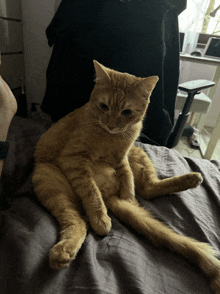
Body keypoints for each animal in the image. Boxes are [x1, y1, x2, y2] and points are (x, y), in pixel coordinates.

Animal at [32, 60, 220, 292]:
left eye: (127, 112)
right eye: (104, 106)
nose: (111, 125)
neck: (109, 138)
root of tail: (110, 194)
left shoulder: (124, 155)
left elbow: (127, 177)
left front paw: (128, 195)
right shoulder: (73, 159)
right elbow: (92, 193)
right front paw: (101, 217)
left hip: (138, 153)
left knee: (147, 190)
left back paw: (192, 178)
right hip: (49, 180)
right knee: (78, 220)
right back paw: (66, 250)